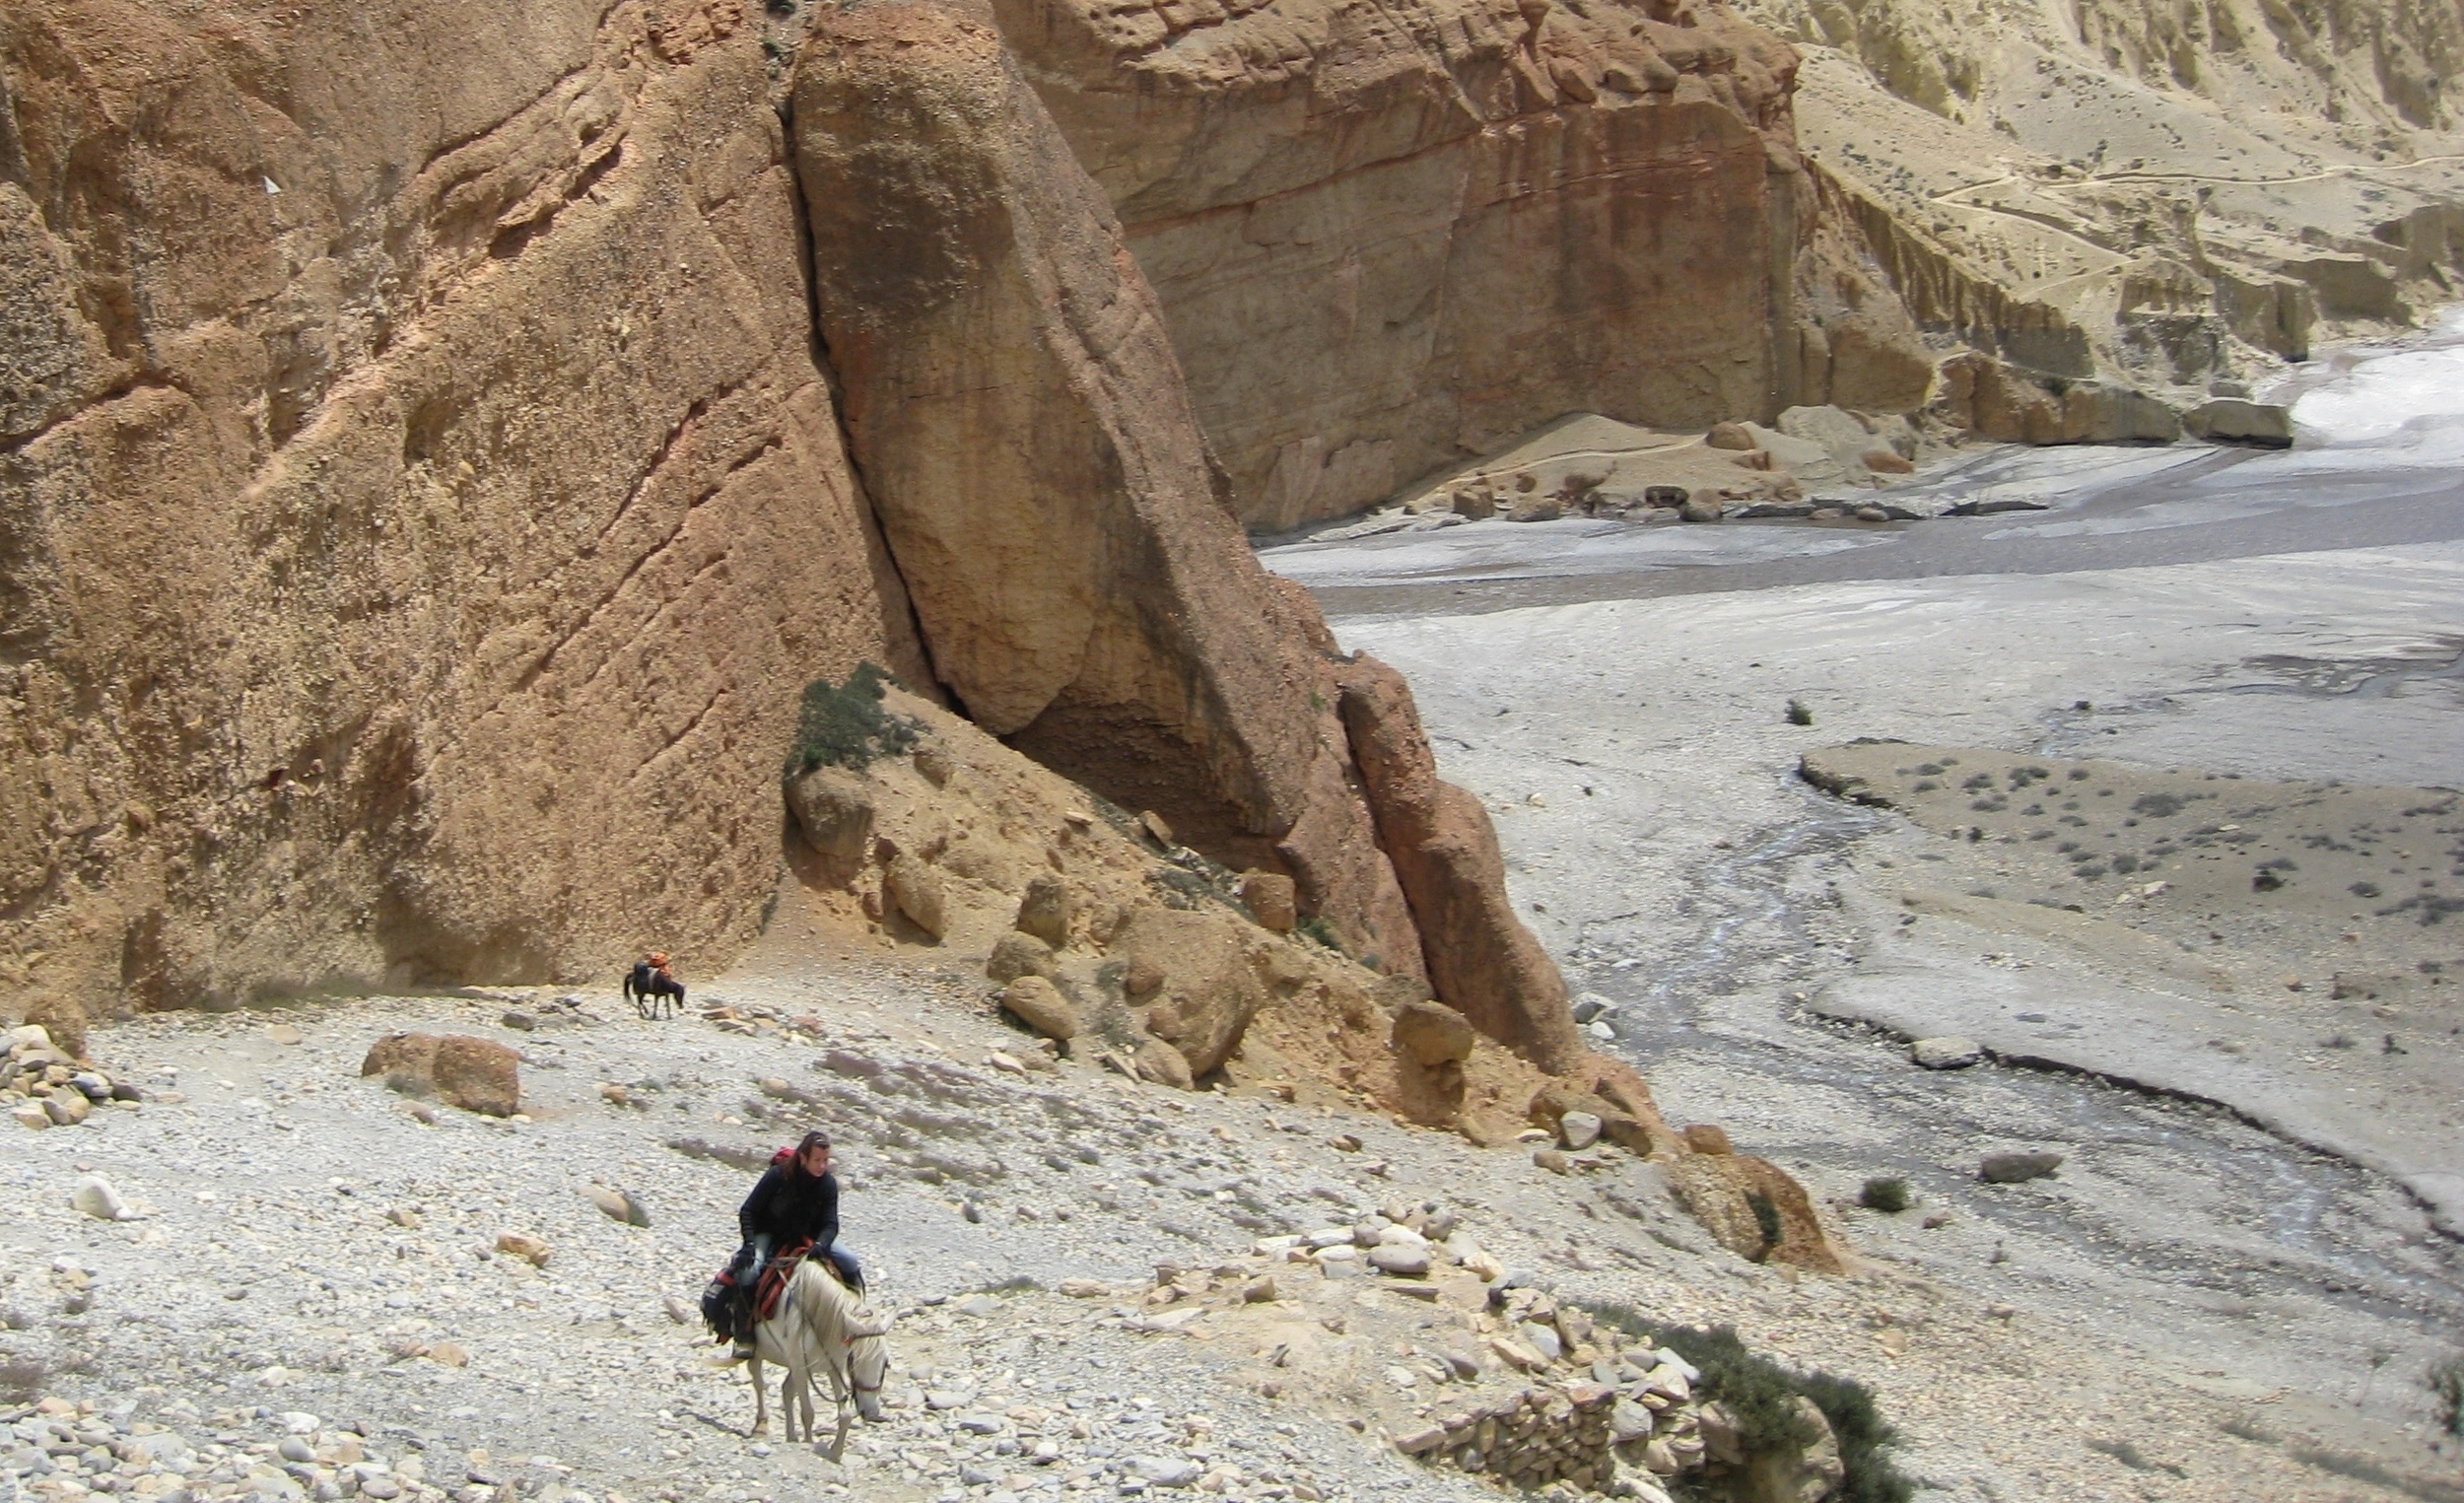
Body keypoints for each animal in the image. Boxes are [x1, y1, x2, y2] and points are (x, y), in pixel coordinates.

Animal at [719, 1252, 892, 1449]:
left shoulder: (833, 1366)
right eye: (853, 1360)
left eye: (886, 1363)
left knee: (786, 1389)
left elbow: (845, 1415)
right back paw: (761, 1426)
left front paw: (835, 1451)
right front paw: (809, 1443)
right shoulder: (801, 1366)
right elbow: (808, 1412)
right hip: (760, 1353)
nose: (871, 1413)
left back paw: (791, 1436)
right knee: (759, 1382)